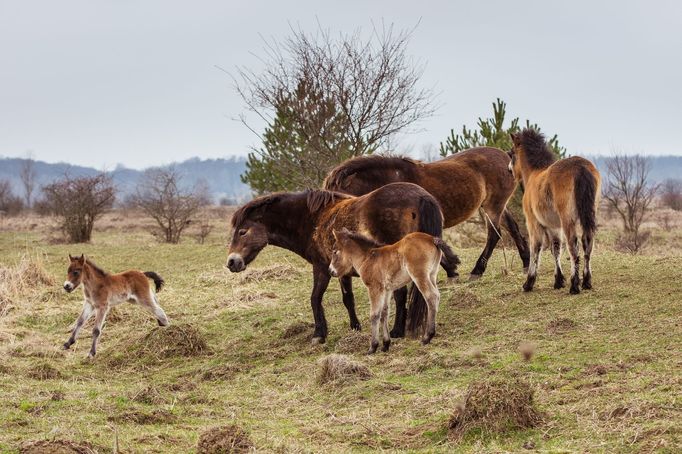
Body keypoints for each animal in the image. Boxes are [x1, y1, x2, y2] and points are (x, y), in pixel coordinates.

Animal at [324, 147, 532, 280]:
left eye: (336, 195)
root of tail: (506, 156)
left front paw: (452, 271)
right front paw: (452, 270)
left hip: (493, 206)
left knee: (493, 235)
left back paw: (477, 271)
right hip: (495, 206)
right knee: (513, 229)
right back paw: (526, 262)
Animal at [328, 229, 456, 352]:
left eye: (335, 251)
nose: (331, 271)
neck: (367, 258)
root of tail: (432, 238)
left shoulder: (374, 288)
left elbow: (374, 314)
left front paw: (373, 347)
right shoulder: (387, 290)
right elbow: (384, 312)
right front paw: (385, 344)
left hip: (419, 276)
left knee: (431, 296)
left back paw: (427, 337)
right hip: (432, 274)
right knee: (437, 295)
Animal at [508, 129, 596, 296]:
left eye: (511, 153)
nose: (509, 171)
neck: (535, 174)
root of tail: (580, 167)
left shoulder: (533, 222)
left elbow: (535, 248)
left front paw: (529, 282)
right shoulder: (553, 226)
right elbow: (555, 248)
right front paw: (558, 280)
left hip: (568, 220)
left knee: (573, 247)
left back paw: (574, 286)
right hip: (588, 215)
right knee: (587, 242)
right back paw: (587, 282)